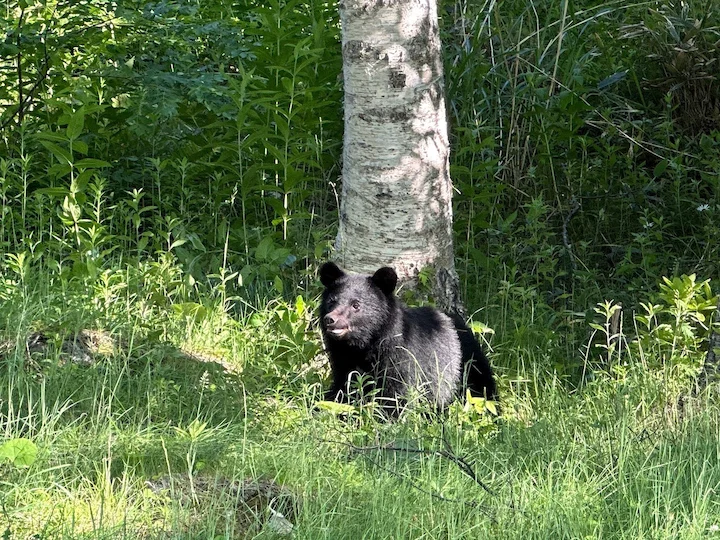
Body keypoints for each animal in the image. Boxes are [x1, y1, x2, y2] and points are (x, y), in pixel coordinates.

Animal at [319, 261, 497, 414]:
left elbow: (396, 394)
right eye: (331, 301)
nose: (330, 319)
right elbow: (343, 387)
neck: (364, 346)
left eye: (356, 305)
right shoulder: (343, 360)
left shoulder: (403, 358)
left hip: (467, 364)